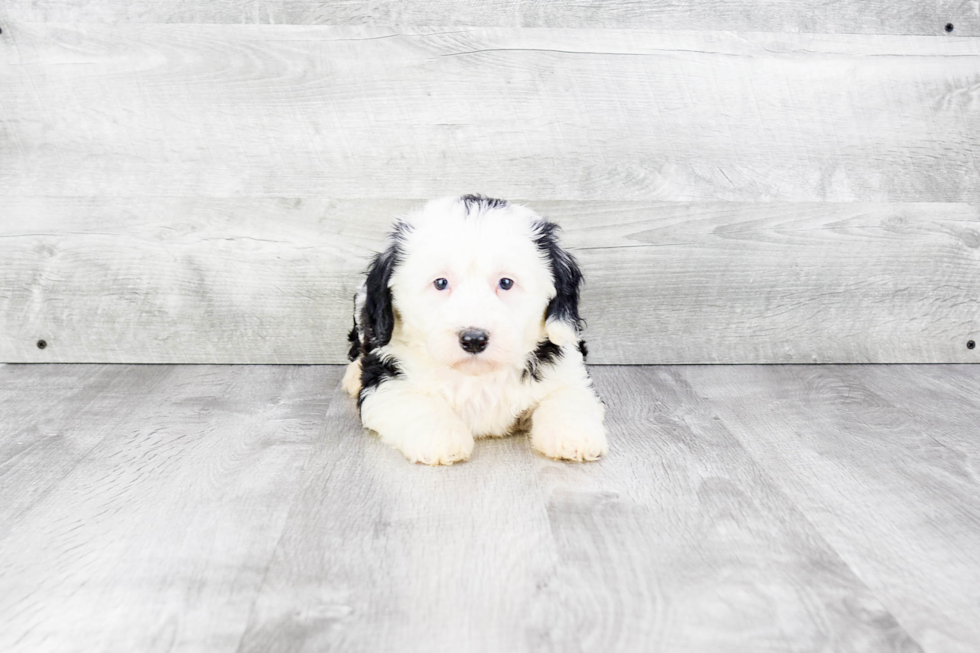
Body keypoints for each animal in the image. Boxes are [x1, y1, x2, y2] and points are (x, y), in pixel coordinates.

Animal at [342, 194, 604, 464]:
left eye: (506, 283)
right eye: (440, 283)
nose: (474, 339)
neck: (477, 377)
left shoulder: (567, 369)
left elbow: (567, 396)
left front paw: (573, 436)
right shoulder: (385, 380)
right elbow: (413, 402)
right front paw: (441, 437)